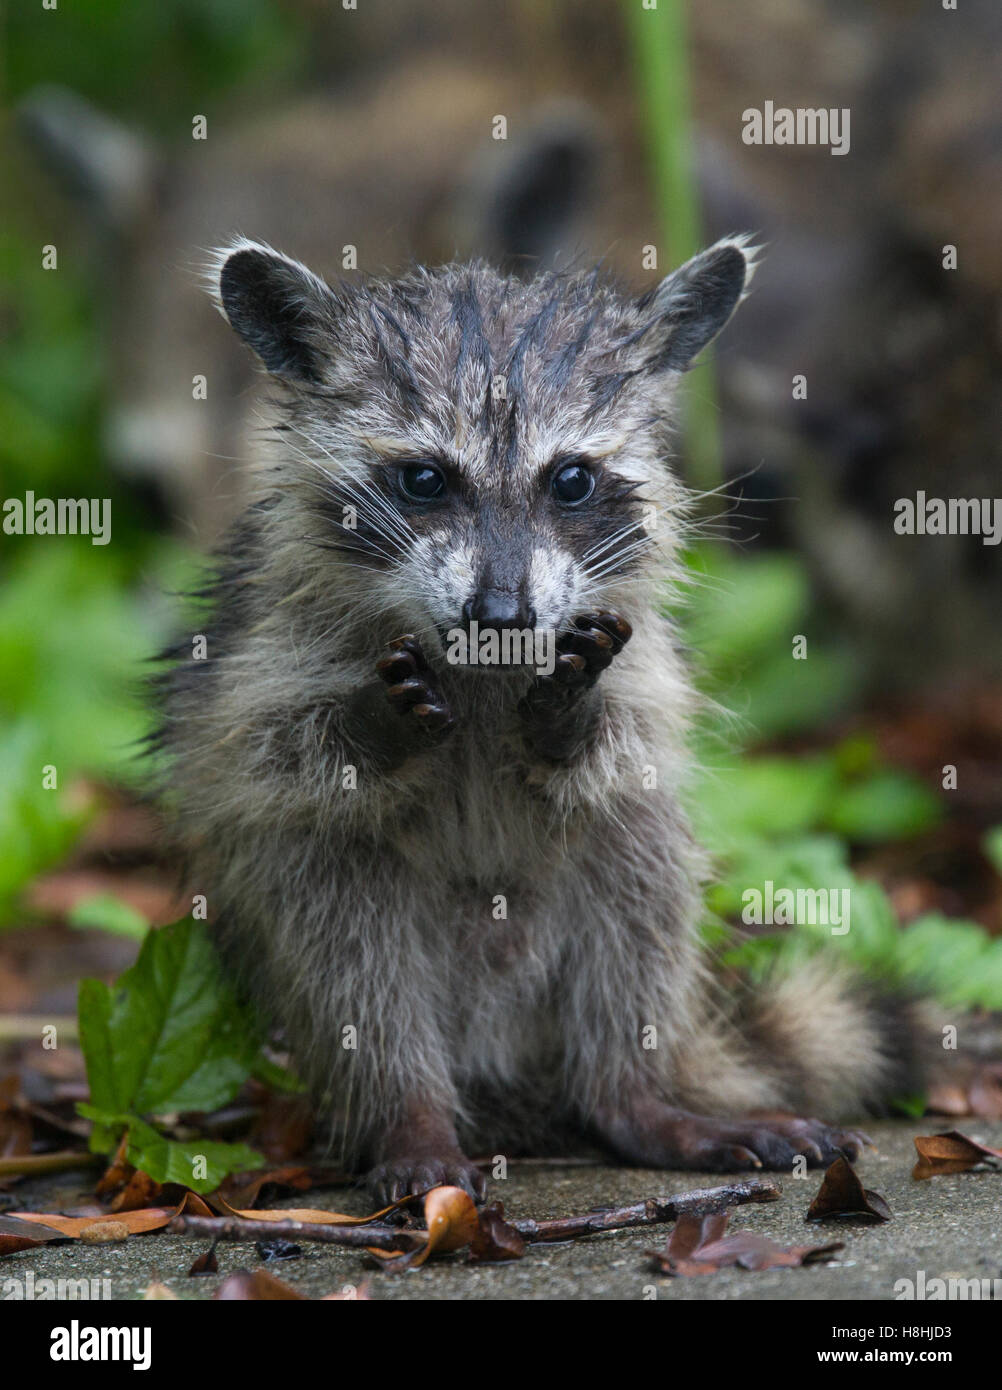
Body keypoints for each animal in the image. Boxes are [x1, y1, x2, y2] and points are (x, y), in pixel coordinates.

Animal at [156, 233, 922, 1200]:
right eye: (423, 479)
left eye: (571, 480)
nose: (502, 612)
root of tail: (500, 1055)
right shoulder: (262, 643)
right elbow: (266, 754)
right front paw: (371, 726)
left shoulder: (640, 653)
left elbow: (629, 745)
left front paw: (568, 717)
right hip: (319, 912)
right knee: (346, 950)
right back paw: (409, 1112)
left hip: (605, 910)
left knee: (638, 880)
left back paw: (634, 1095)